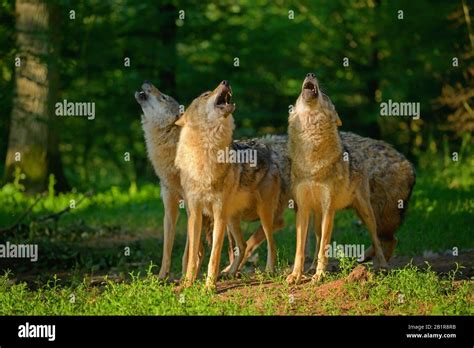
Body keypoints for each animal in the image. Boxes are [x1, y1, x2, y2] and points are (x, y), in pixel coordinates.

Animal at [175, 81, 288, 288]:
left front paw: (209, 287)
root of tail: (269, 150)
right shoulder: (195, 214)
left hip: (262, 214)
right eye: (205, 94)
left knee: (271, 243)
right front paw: (187, 283)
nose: (225, 82)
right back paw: (231, 273)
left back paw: (268, 271)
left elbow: (214, 256)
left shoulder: (218, 213)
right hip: (232, 219)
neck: (206, 149)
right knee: (242, 246)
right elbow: (193, 255)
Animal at [286, 72, 392, 284]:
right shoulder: (302, 209)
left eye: (325, 94)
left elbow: (324, 249)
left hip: (365, 213)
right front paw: (297, 275)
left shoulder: (329, 209)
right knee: (318, 240)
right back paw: (310, 268)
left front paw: (320, 275)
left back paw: (383, 265)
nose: (311, 74)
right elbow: (301, 250)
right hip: (317, 217)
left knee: (376, 240)